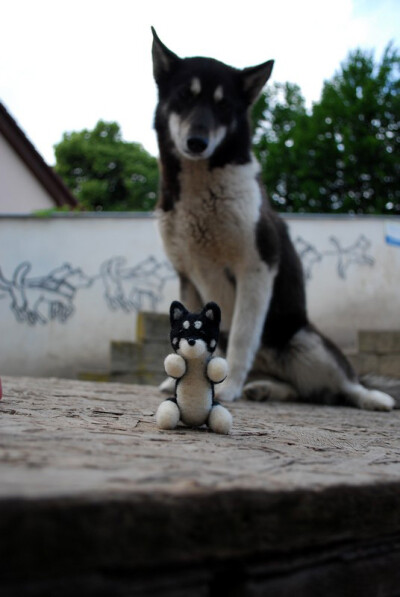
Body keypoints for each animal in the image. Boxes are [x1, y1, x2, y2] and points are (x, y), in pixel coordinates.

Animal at [152, 28, 398, 410]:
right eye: (183, 96)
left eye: (223, 105)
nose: (196, 141)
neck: (201, 187)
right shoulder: (187, 276)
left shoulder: (257, 266)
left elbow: (242, 336)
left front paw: (228, 386)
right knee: (302, 391)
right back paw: (264, 389)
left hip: (308, 343)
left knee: (344, 386)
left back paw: (374, 398)